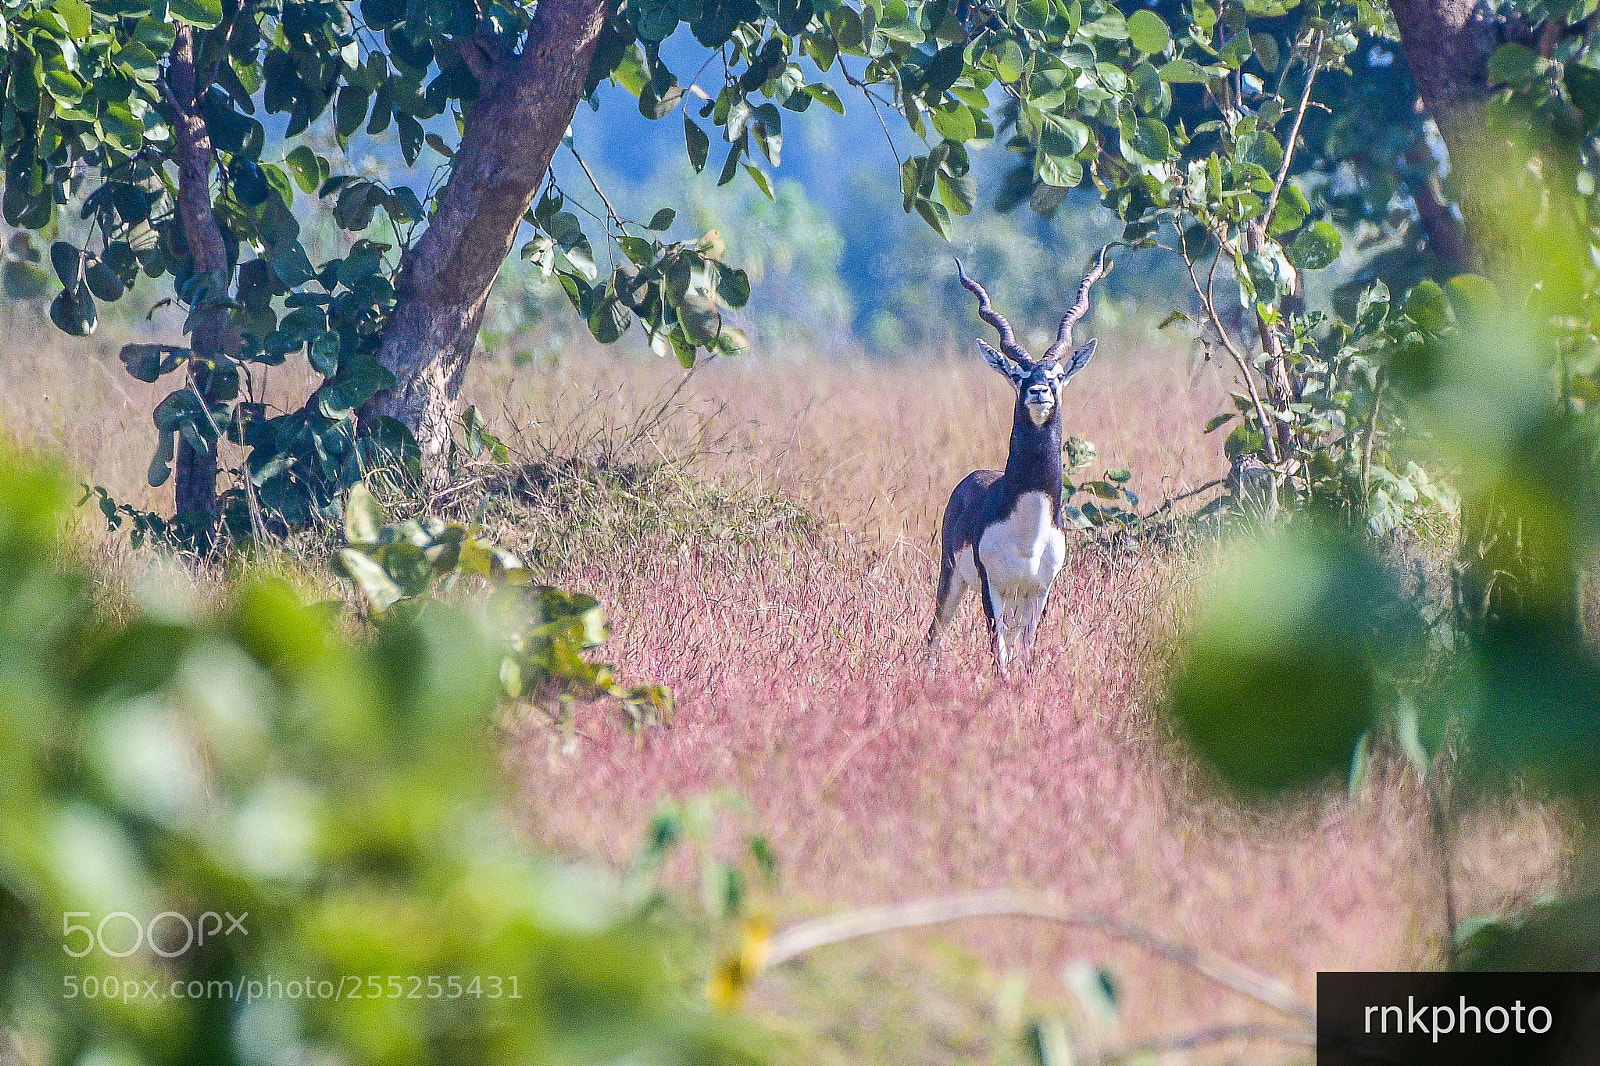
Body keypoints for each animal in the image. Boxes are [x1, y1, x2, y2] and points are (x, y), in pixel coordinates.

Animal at [928, 244, 1113, 669]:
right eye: (1017, 375)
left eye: (1058, 374)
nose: (1039, 391)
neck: (1028, 531)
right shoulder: (991, 590)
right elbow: (1000, 661)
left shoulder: (1039, 593)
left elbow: (1023, 660)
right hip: (952, 579)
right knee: (934, 635)